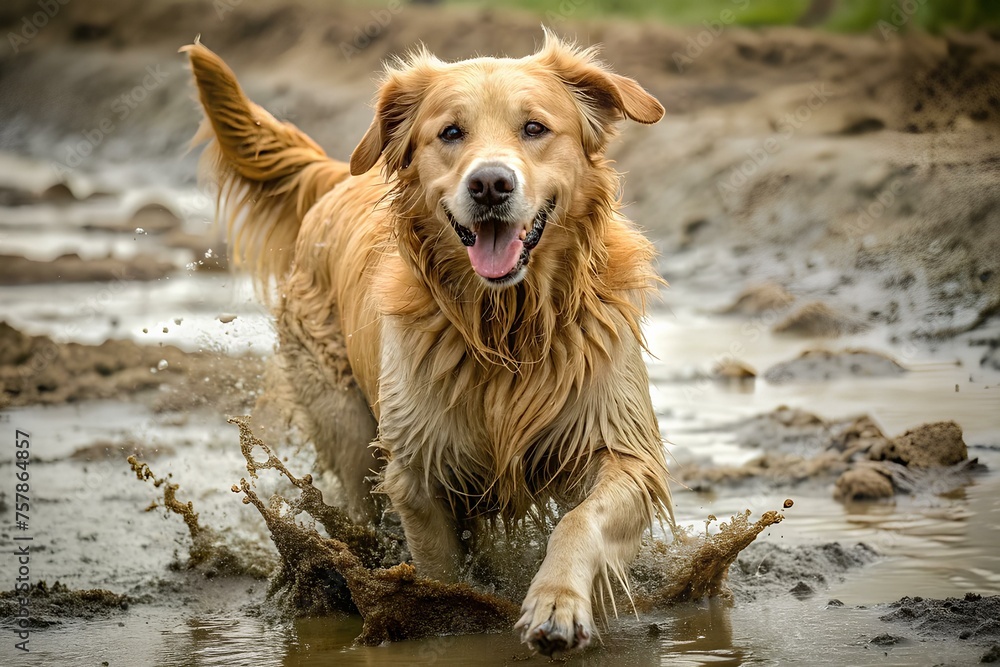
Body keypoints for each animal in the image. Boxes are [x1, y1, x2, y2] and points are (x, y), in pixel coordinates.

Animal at [185, 32, 676, 656]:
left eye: (534, 128)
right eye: (450, 133)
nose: (490, 184)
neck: (506, 328)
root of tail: (341, 176)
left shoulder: (620, 447)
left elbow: (579, 520)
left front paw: (557, 604)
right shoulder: (419, 473)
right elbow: (439, 569)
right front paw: (440, 617)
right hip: (347, 426)